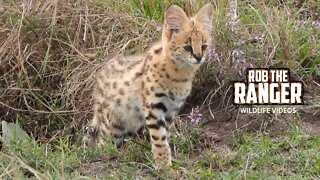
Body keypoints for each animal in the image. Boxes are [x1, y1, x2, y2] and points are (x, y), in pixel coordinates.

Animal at [85, 3, 212, 168]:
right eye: (187, 47)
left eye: (204, 46)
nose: (198, 57)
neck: (179, 75)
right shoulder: (153, 105)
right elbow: (159, 139)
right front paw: (164, 165)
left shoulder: (171, 109)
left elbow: (165, 135)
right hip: (114, 123)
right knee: (101, 142)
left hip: (129, 123)